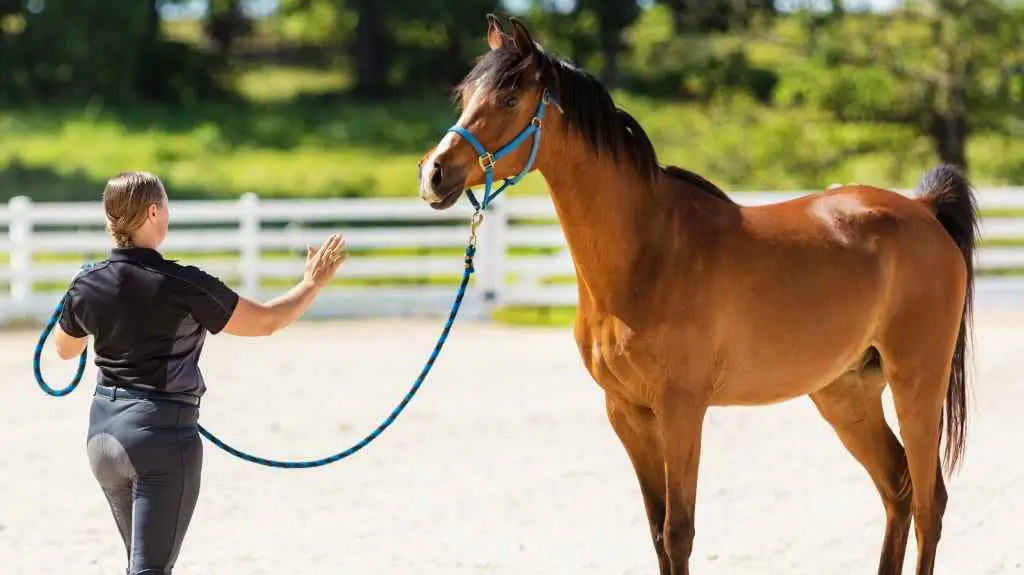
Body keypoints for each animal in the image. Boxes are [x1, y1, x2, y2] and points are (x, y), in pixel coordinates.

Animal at [418, 15, 977, 575]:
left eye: (509, 98)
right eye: (466, 95)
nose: (433, 174)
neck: (647, 253)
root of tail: (923, 210)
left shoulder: (682, 409)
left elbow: (678, 531)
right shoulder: (627, 412)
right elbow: (657, 532)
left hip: (915, 385)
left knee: (929, 503)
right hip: (846, 394)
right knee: (897, 489)